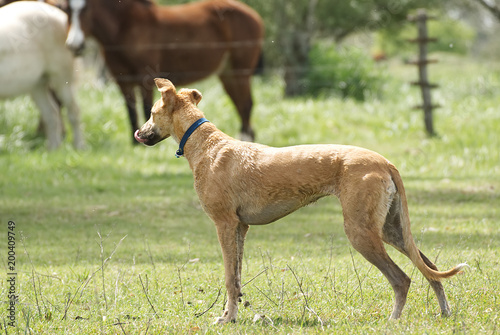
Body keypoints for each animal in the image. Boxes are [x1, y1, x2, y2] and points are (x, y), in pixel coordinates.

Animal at [0, 0, 84, 151]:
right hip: (37, 85)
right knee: (51, 114)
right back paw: (53, 150)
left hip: (62, 80)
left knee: (73, 112)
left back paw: (79, 147)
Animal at [65, 0, 266, 142]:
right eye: (66, 9)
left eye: (85, 9)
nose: (74, 44)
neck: (126, 27)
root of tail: (254, 15)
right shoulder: (123, 81)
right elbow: (131, 111)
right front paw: (134, 143)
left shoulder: (145, 77)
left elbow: (146, 108)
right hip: (228, 74)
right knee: (240, 104)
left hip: (240, 72)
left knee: (246, 105)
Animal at [135, 79, 466, 326]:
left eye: (151, 111)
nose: (138, 133)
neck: (205, 143)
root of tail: (385, 162)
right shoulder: (240, 228)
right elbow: (237, 279)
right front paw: (232, 314)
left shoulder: (224, 224)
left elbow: (229, 278)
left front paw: (226, 318)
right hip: (390, 229)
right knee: (430, 268)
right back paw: (444, 312)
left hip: (361, 232)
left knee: (402, 278)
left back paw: (393, 320)